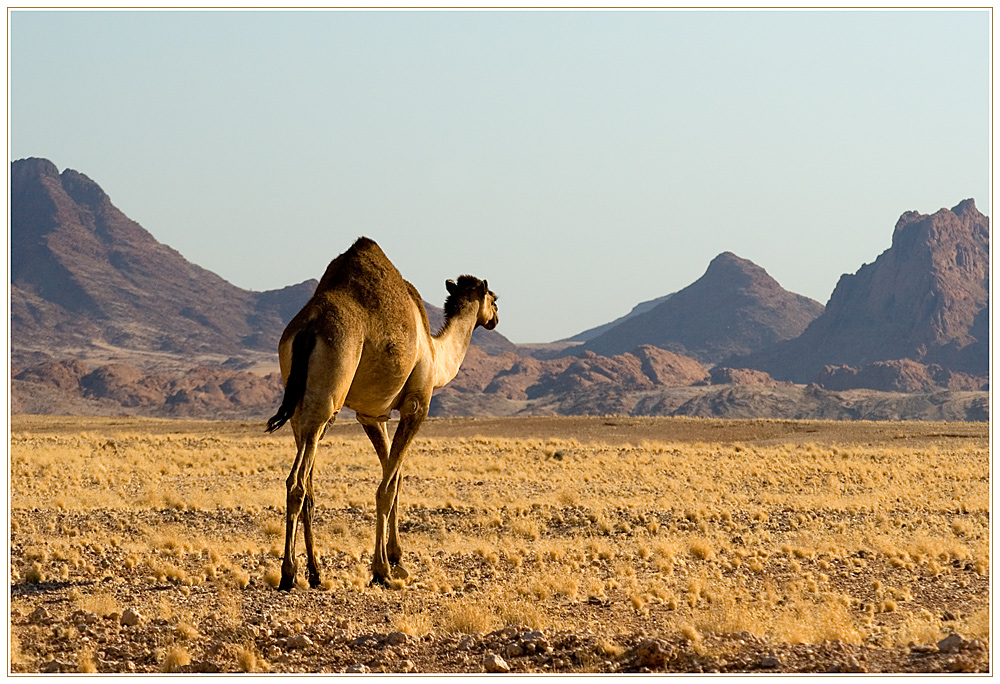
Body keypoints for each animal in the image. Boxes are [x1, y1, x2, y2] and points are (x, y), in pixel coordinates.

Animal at [266, 235, 500, 588]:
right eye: (494, 298)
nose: (496, 318)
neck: (436, 354)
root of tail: (308, 327)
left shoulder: (372, 416)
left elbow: (396, 477)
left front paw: (397, 558)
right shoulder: (417, 406)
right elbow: (386, 488)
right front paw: (383, 569)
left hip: (298, 409)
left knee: (308, 483)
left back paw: (316, 572)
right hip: (326, 399)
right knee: (297, 482)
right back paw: (289, 574)